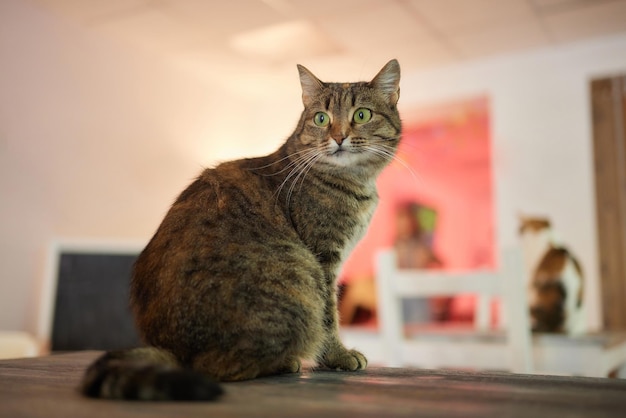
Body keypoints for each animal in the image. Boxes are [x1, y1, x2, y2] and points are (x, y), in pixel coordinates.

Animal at [80, 59, 400, 402]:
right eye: (321, 118)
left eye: (361, 114)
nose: (339, 137)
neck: (356, 184)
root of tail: (170, 349)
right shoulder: (324, 260)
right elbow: (329, 318)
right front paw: (340, 356)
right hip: (299, 279)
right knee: (216, 367)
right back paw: (284, 362)